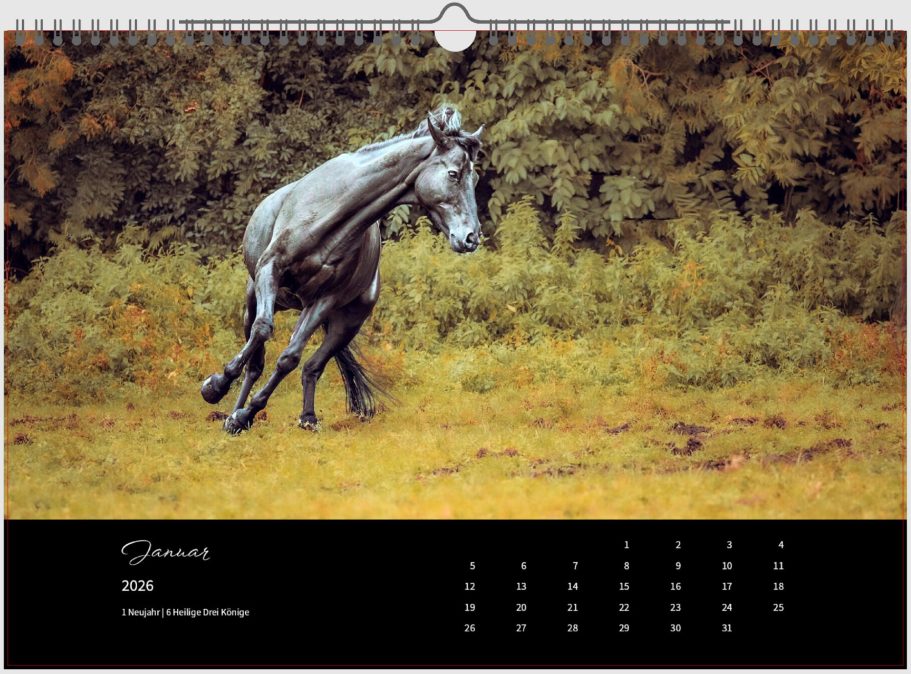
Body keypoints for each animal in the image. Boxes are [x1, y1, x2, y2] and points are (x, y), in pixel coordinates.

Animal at [200, 106, 484, 434]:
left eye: (475, 177)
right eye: (453, 174)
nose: (471, 237)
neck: (330, 211)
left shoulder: (325, 300)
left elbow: (290, 358)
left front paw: (248, 413)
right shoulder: (270, 271)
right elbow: (262, 332)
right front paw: (215, 387)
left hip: (344, 323)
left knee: (311, 366)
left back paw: (302, 418)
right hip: (254, 296)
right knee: (255, 361)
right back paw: (231, 411)